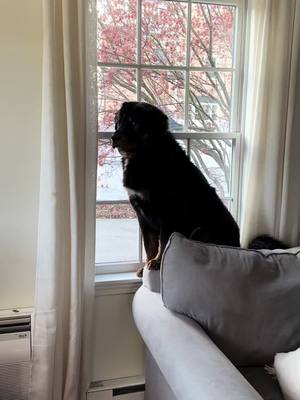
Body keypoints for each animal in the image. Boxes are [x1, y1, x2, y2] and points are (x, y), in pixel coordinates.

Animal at [111, 101, 240, 276]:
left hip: (201, 230)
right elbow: (150, 245)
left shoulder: (167, 212)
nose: (114, 137)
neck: (146, 155)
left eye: (135, 123)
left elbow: (164, 241)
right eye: (119, 121)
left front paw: (157, 262)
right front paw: (146, 266)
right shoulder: (142, 215)